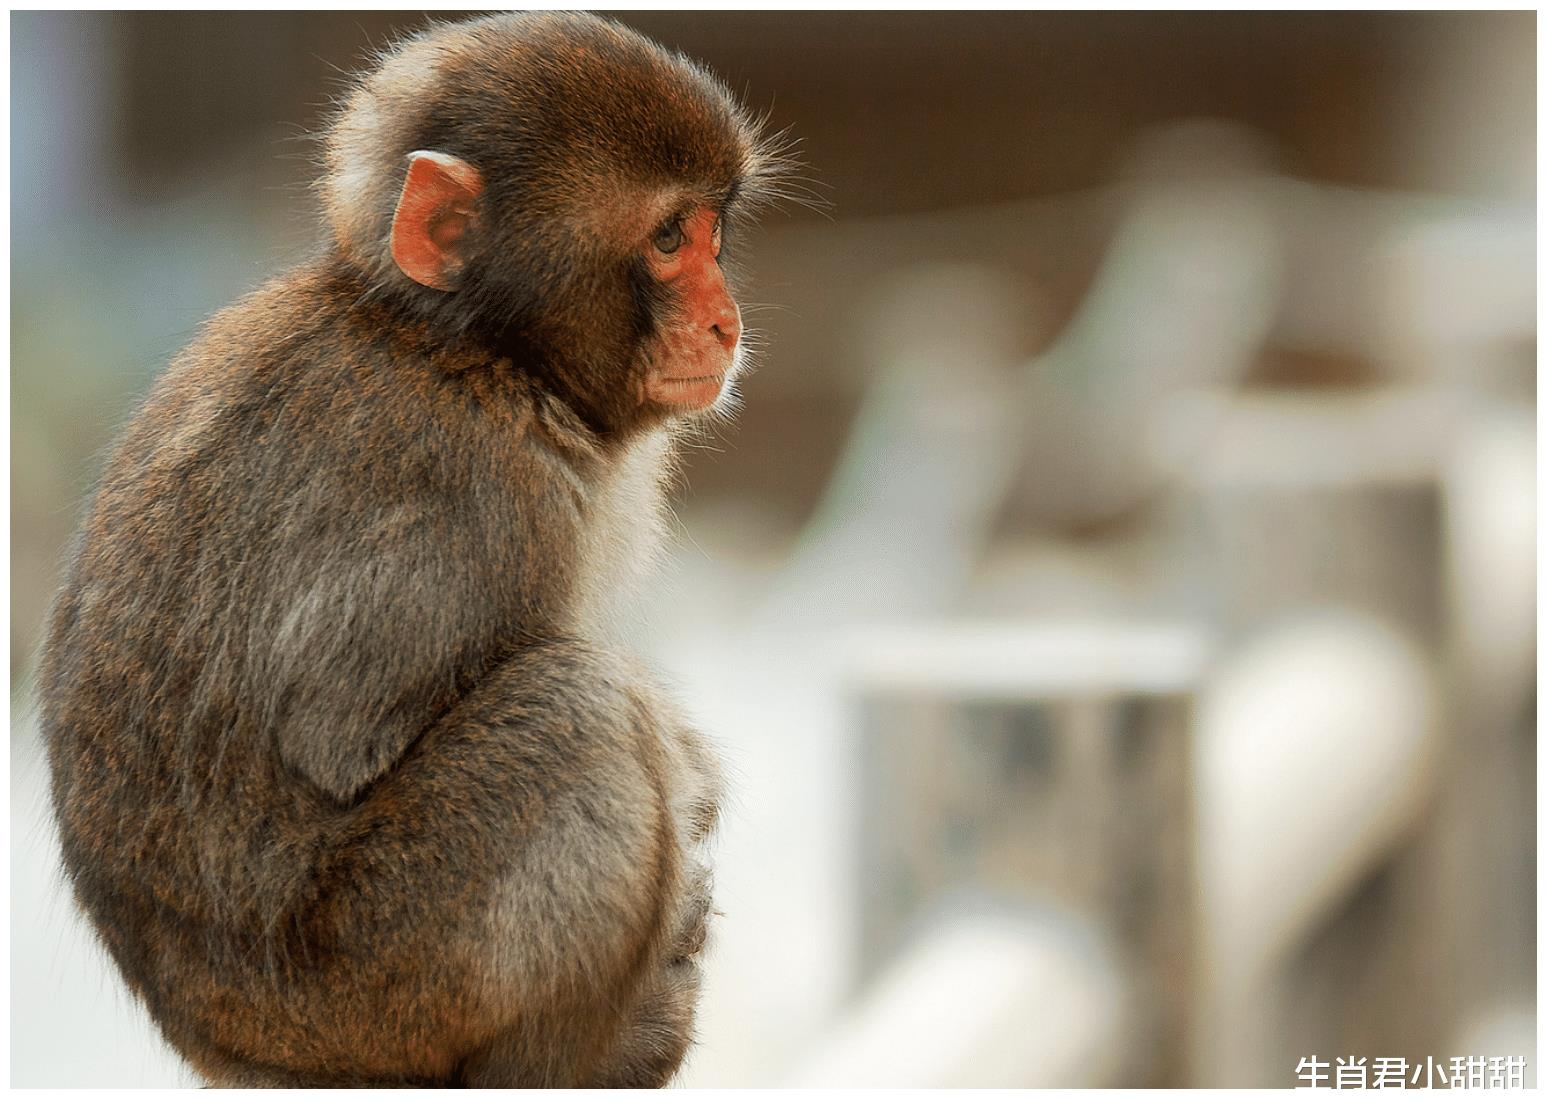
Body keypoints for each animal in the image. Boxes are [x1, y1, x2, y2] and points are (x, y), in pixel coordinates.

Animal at [42, 10, 792, 1095]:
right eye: (665, 238)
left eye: (711, 232)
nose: (725, 320)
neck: (467, 350)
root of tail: (234, 1050)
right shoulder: (470, 497)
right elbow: (343, 739)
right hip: (375, 987)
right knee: (575, 707)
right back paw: (586, 1051)